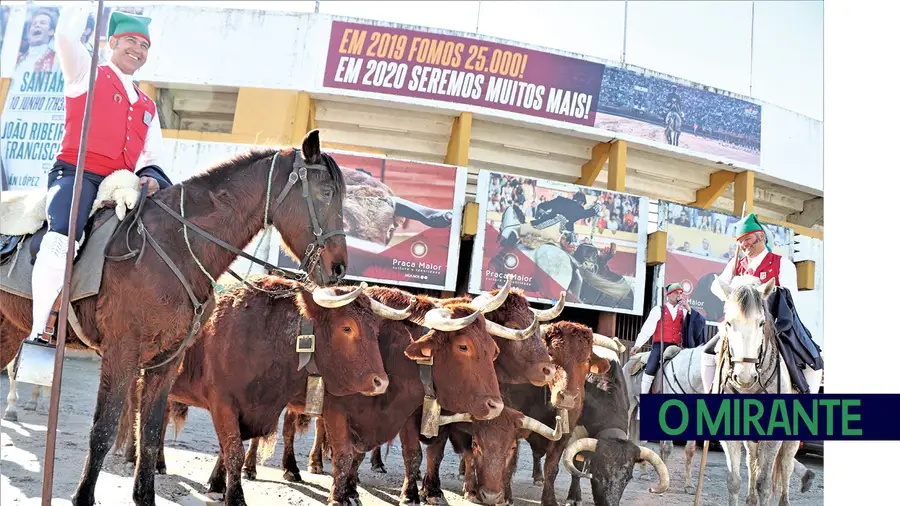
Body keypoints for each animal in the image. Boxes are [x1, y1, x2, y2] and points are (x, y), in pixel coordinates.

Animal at [0, 128, 348, 504]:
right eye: (326, 193)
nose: (339, 269)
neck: (176, 246)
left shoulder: (166, 361)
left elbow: (151, 432)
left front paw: (144, 494)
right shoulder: (122, 353)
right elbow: (104, 429)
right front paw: (83, 496)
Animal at [712, 276, 800, 506]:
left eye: (761, 323)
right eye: (728, 322)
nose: (744, 377)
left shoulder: (775, 437)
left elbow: (765, 484)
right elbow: (734, 480)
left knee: (786, 465)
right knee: (752, 460)